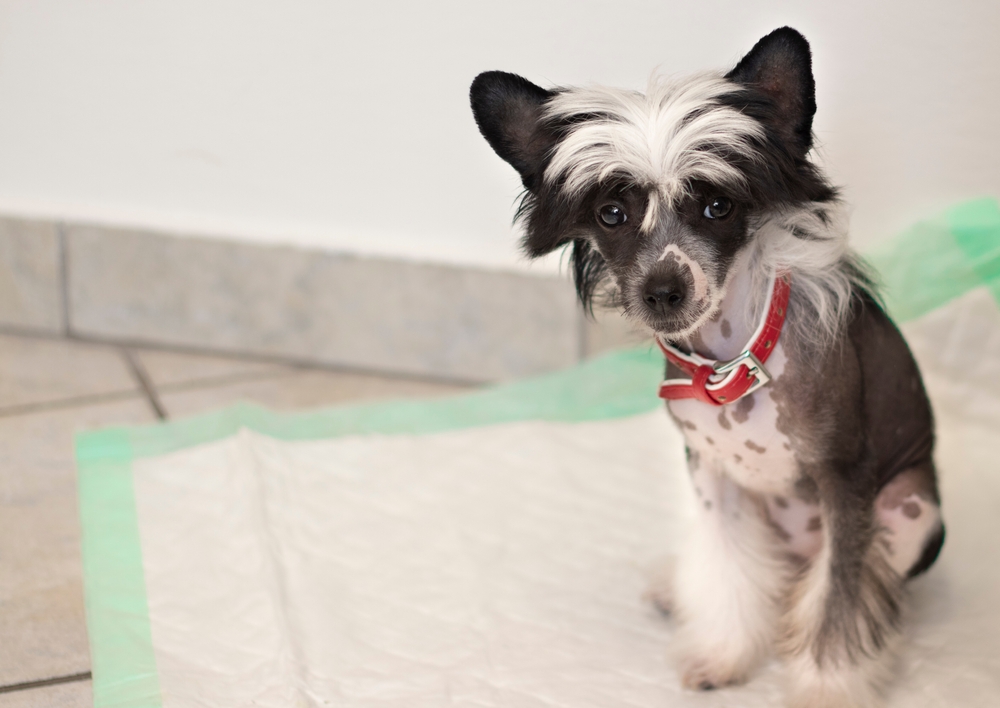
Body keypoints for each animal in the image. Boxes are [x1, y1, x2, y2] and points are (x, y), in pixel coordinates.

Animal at [468, 26, 944, 708]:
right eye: (612, 213)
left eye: (718, 206)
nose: (663, 291)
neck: (733, 363)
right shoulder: (714, 478)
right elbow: (726, 572)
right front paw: (723, 652)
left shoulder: (845, 478)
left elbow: (841, 599)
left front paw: (827, 686)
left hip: (910, 508)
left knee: (852, 585)